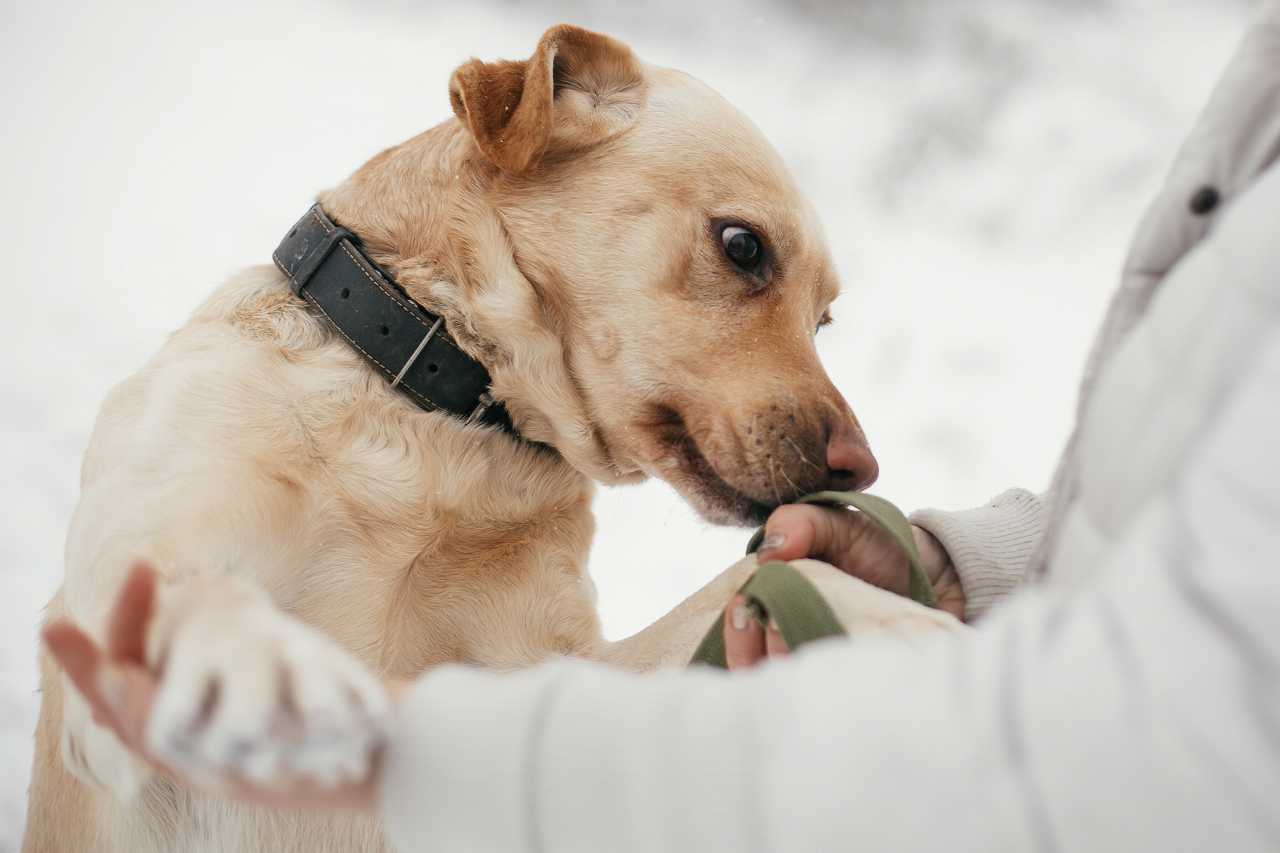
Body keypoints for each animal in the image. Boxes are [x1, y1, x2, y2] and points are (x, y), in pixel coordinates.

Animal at [22, 23, 962, 845]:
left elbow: (768, 575)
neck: (438, 428)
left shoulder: (546, 685)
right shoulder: (135, 584)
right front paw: (259, 665)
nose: (862, 468)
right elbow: (189, 590)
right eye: (742, 245)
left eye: (825, 319)